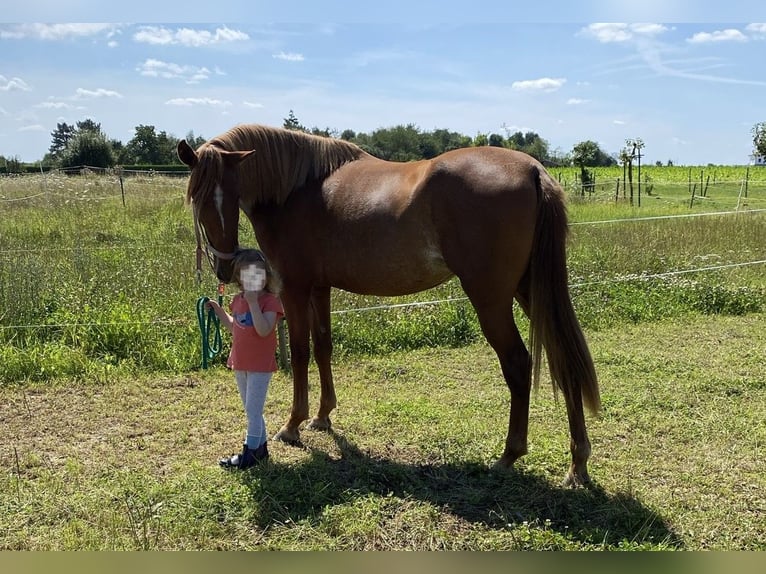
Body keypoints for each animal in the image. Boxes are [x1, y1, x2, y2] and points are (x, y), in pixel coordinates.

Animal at [178, 125, 600, 486]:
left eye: (225, 197)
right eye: (199, 197)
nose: (226, 267)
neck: (296, 189)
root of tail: (533, 169)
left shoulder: (294, 289)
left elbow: (299, 353)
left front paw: (293, 424)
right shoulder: (320, 288)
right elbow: (324, 346)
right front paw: (323, 416)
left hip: (491, 298)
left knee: (518, 363)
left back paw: (510, 454)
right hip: (531, 290)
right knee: (564, 356)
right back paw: (577, 463)